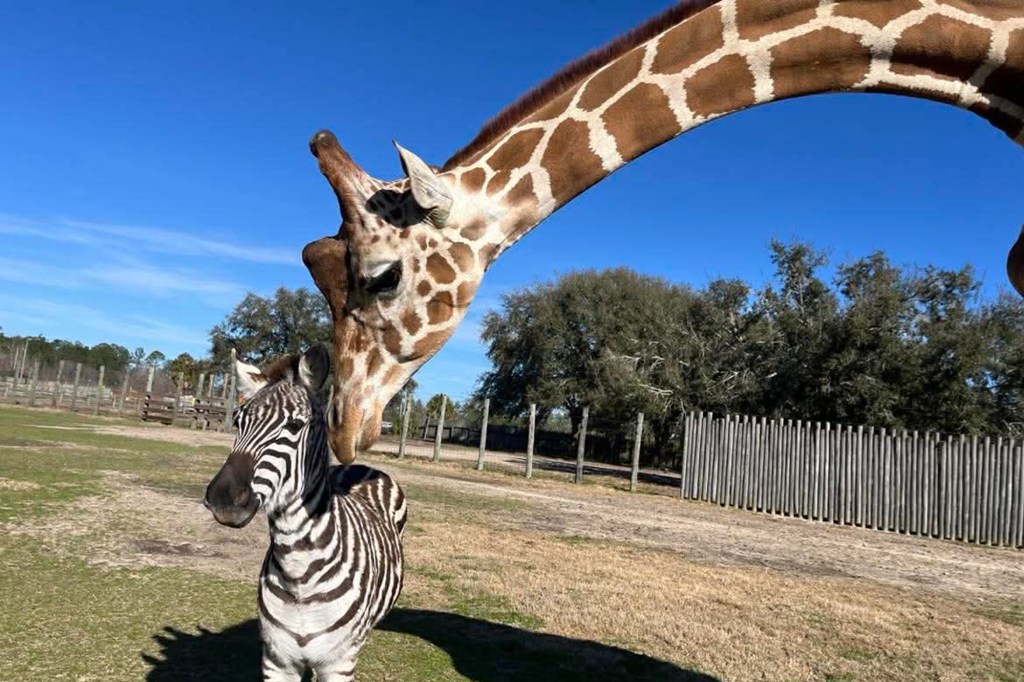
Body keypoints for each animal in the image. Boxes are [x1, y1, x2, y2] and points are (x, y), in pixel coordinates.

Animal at [204, 344, 406, 681]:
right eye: (237, 422)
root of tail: (360, 467)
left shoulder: (338, 664)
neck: (298, 571)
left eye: (295, 426)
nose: (222, 499)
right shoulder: (277, 660)